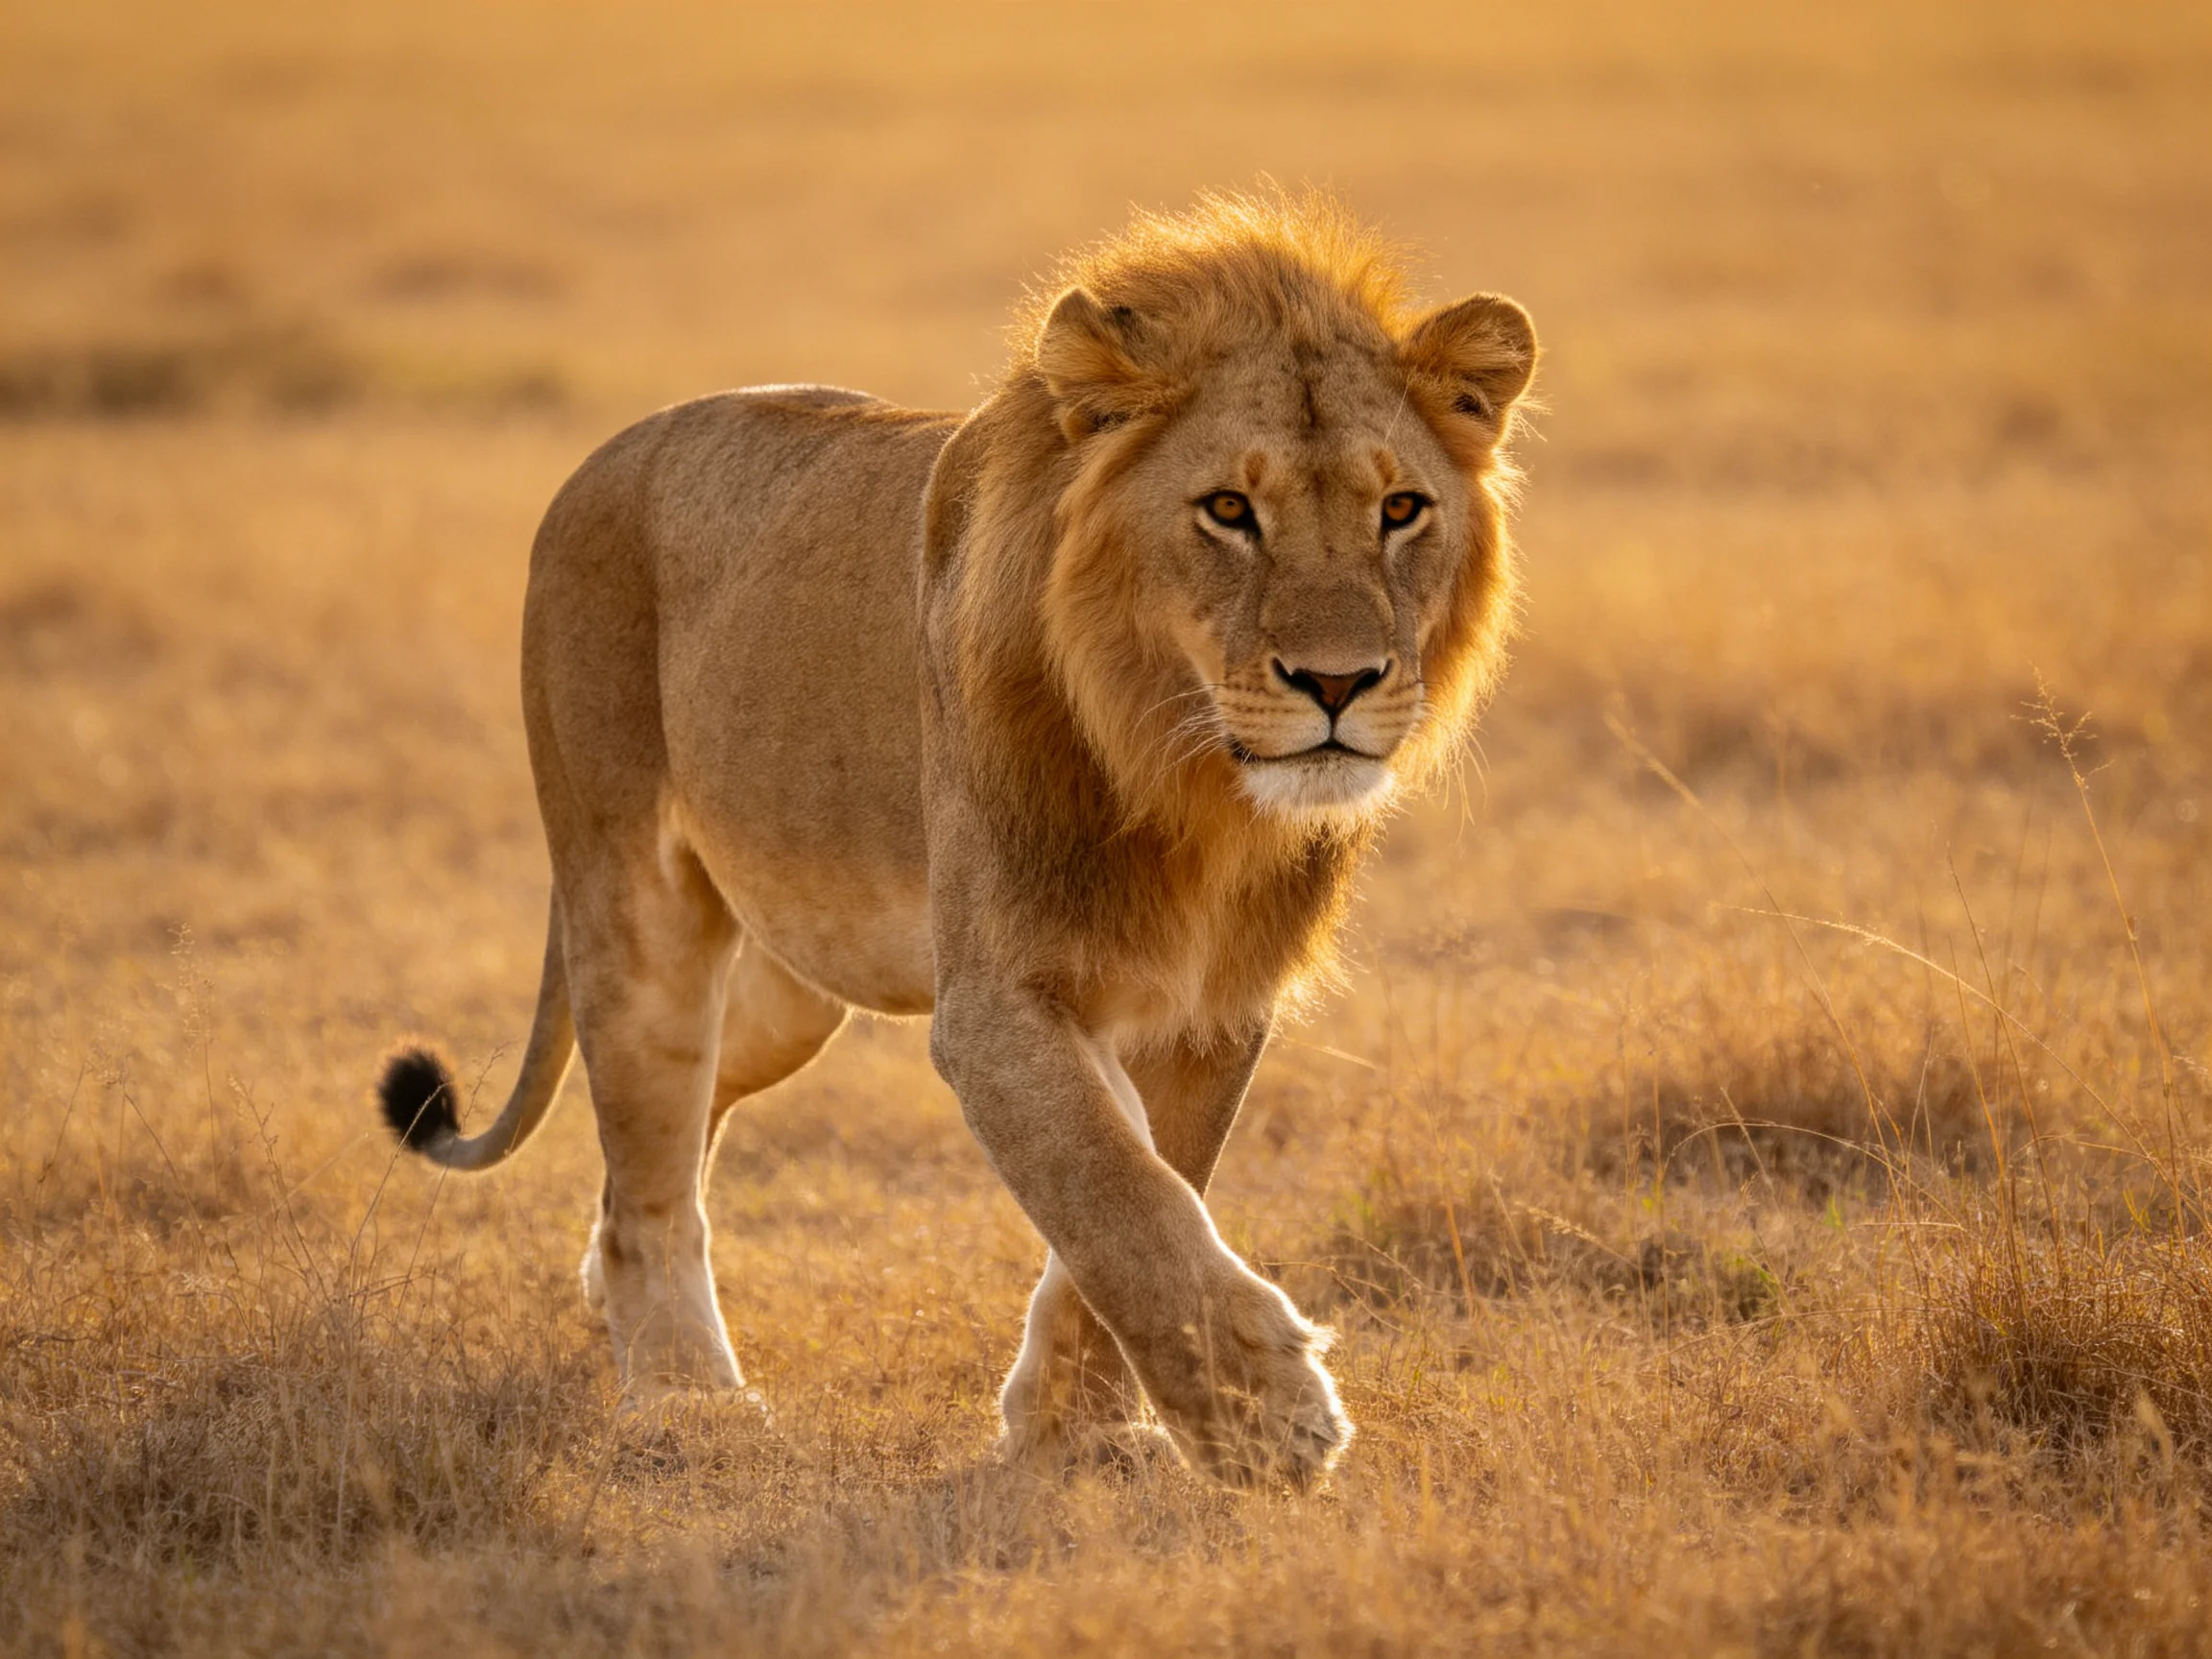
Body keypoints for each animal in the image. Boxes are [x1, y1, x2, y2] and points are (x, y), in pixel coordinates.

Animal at [375, 191, 1537, 1490]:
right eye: (1230, 511)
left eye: (1402, 510)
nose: (1338, 683)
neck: (1188, 778)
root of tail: (603, 457)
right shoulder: (996, 1002)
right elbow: (1113, 1190)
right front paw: (1268, 1417)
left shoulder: (1208, 1005)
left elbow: (1144, 1194)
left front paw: (1078, 1427)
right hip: (636, 905)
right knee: (650, 1168)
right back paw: (685, 1398)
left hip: (794, 988)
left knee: (669, 1131)